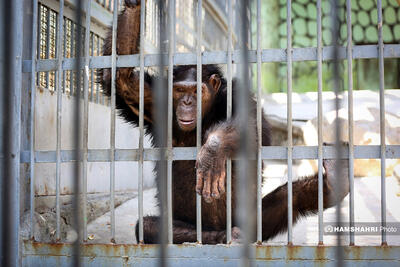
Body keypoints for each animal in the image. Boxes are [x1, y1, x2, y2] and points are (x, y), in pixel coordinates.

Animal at [101, 0, 350, 245]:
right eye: (180, 90)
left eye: (197, 91)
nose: (187, 102)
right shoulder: (154, 100)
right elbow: (122, 79)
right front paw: (133, 5)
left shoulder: (238, 95)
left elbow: (250, 124)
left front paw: (213, 151)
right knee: (149, 227)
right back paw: (224, 236)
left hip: (255, 220)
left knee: (293, 197)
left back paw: (335, 180)